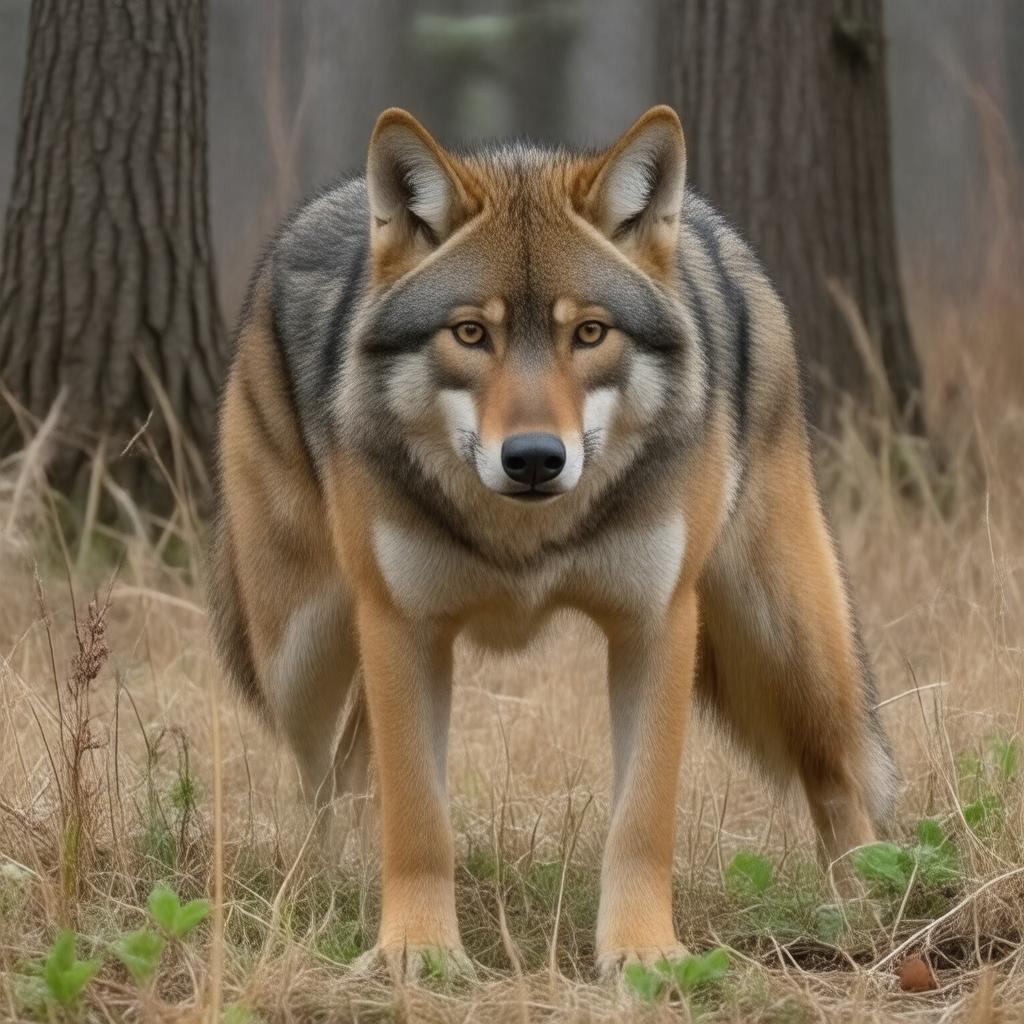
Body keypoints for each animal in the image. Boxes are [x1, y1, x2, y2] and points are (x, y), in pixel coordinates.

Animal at [209, 105, 899, 976]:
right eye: (472, 333)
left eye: (590, 333)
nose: (535, 457)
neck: (526, 538)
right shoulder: (400, 625)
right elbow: (418, 816)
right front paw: (417, 953)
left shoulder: (656, 623)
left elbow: (641, 819)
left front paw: (645, 956)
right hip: (298, 655)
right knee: (327, 773)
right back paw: (326, 890)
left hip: (783, 641)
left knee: (838, 768)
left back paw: (867, 916)